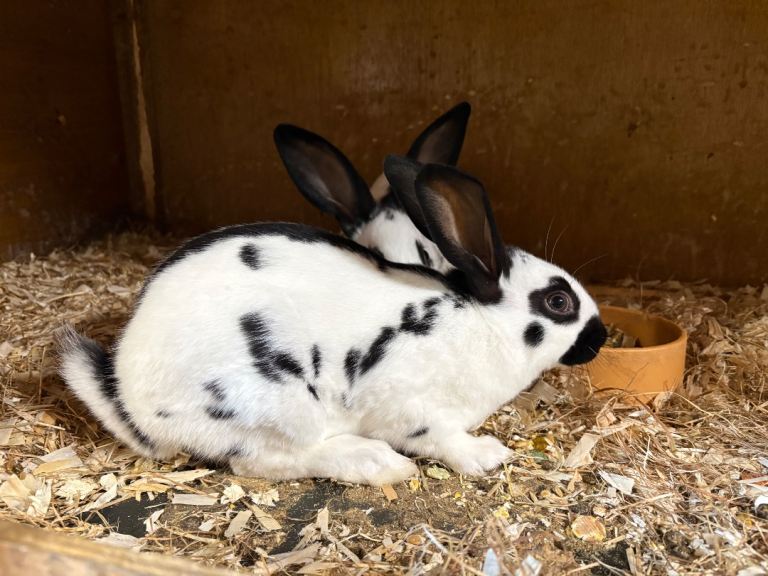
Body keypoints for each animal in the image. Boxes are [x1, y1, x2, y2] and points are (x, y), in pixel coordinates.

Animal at [59, 158, 607, 486]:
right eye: (559, 301)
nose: (599, 338)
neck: (481, 321)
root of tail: (129, 402)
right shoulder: (413, 407)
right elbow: (441, 440)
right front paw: (487, 456)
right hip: (281, 408)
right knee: (263, 461)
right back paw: (377, 463)